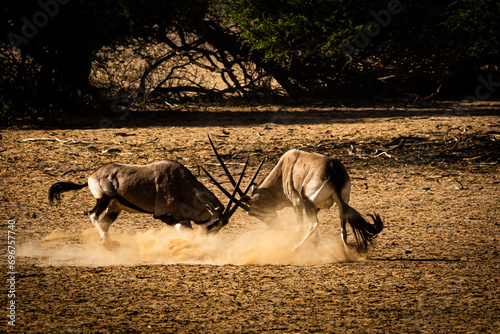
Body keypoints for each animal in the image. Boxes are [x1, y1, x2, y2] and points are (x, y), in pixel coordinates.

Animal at [48, 160, 244, 250]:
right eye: (213, 223)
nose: (207, 240)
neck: (182, 184)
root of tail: (92, 175)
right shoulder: (162, 214)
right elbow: (184, 230)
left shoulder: (181, 216)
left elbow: (186, 229)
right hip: (104, 199)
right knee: (93, 215)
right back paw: (106, 242)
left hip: (115, 207)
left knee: (104, 222)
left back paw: (108, 244)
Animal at [205, 140, 384, 252]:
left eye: (254, 212)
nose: (274, 225)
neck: (284, 168)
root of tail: (333, 170)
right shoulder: (317, 207)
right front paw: (317, 246)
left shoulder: (297, 203)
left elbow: (300, 227)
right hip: (342, 202)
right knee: (343, 226)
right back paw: (346, 252)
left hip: (307, 202)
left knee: (313, 224)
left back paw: (294, 248)